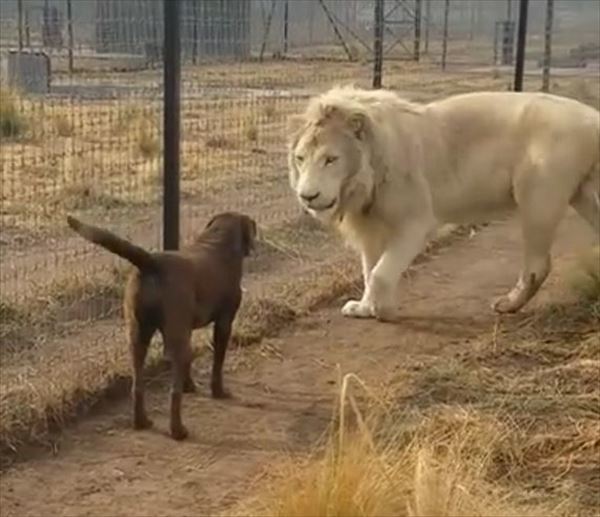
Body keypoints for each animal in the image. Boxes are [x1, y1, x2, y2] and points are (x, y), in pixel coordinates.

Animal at [67, 212, 256, 438]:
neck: (217, 242)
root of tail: (151, 262)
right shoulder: (224, 323)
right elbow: (217, 363)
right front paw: (218, 391)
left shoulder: (187, 329)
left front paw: (190, 385)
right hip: (173, 337)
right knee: (173, 393)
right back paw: (178, 430)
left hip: (138, 335)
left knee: (137, 385)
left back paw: (141, 421)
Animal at [288, 86, 600, 320]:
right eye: (300, 158)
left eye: (331, 159)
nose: (307, 196)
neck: (364, 177)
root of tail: (594, 117)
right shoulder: (372, 225)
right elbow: (368, 270)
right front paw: (364, 307)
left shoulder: (414, 221)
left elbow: (380, 273)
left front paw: (383, 309)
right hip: (584, 195)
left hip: (538, 197)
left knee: (538, 264)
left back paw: (507, 304)